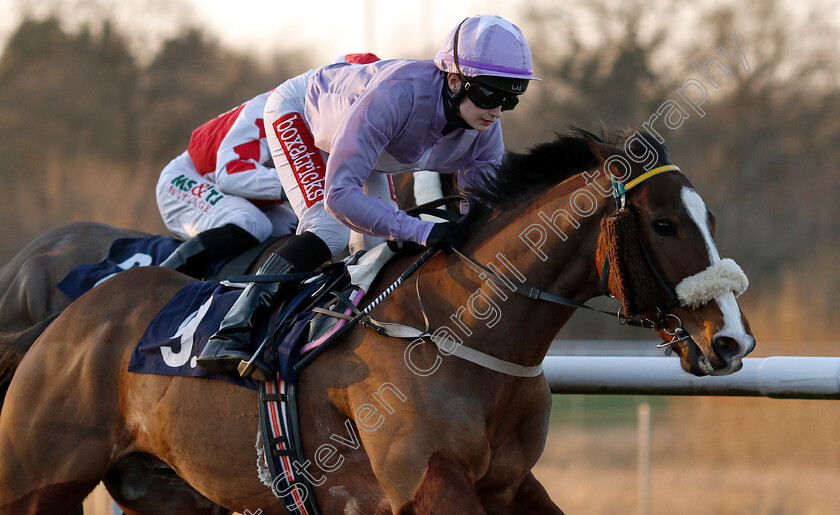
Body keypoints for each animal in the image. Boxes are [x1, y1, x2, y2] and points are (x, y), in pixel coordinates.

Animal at [0, 130, 756, 515]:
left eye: (713, 218)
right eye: (664, 223)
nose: (732, 340)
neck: (457, 332)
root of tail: (67, 315)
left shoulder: (511, 484)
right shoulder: (427, 483)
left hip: (167, 490)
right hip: (35, 480)